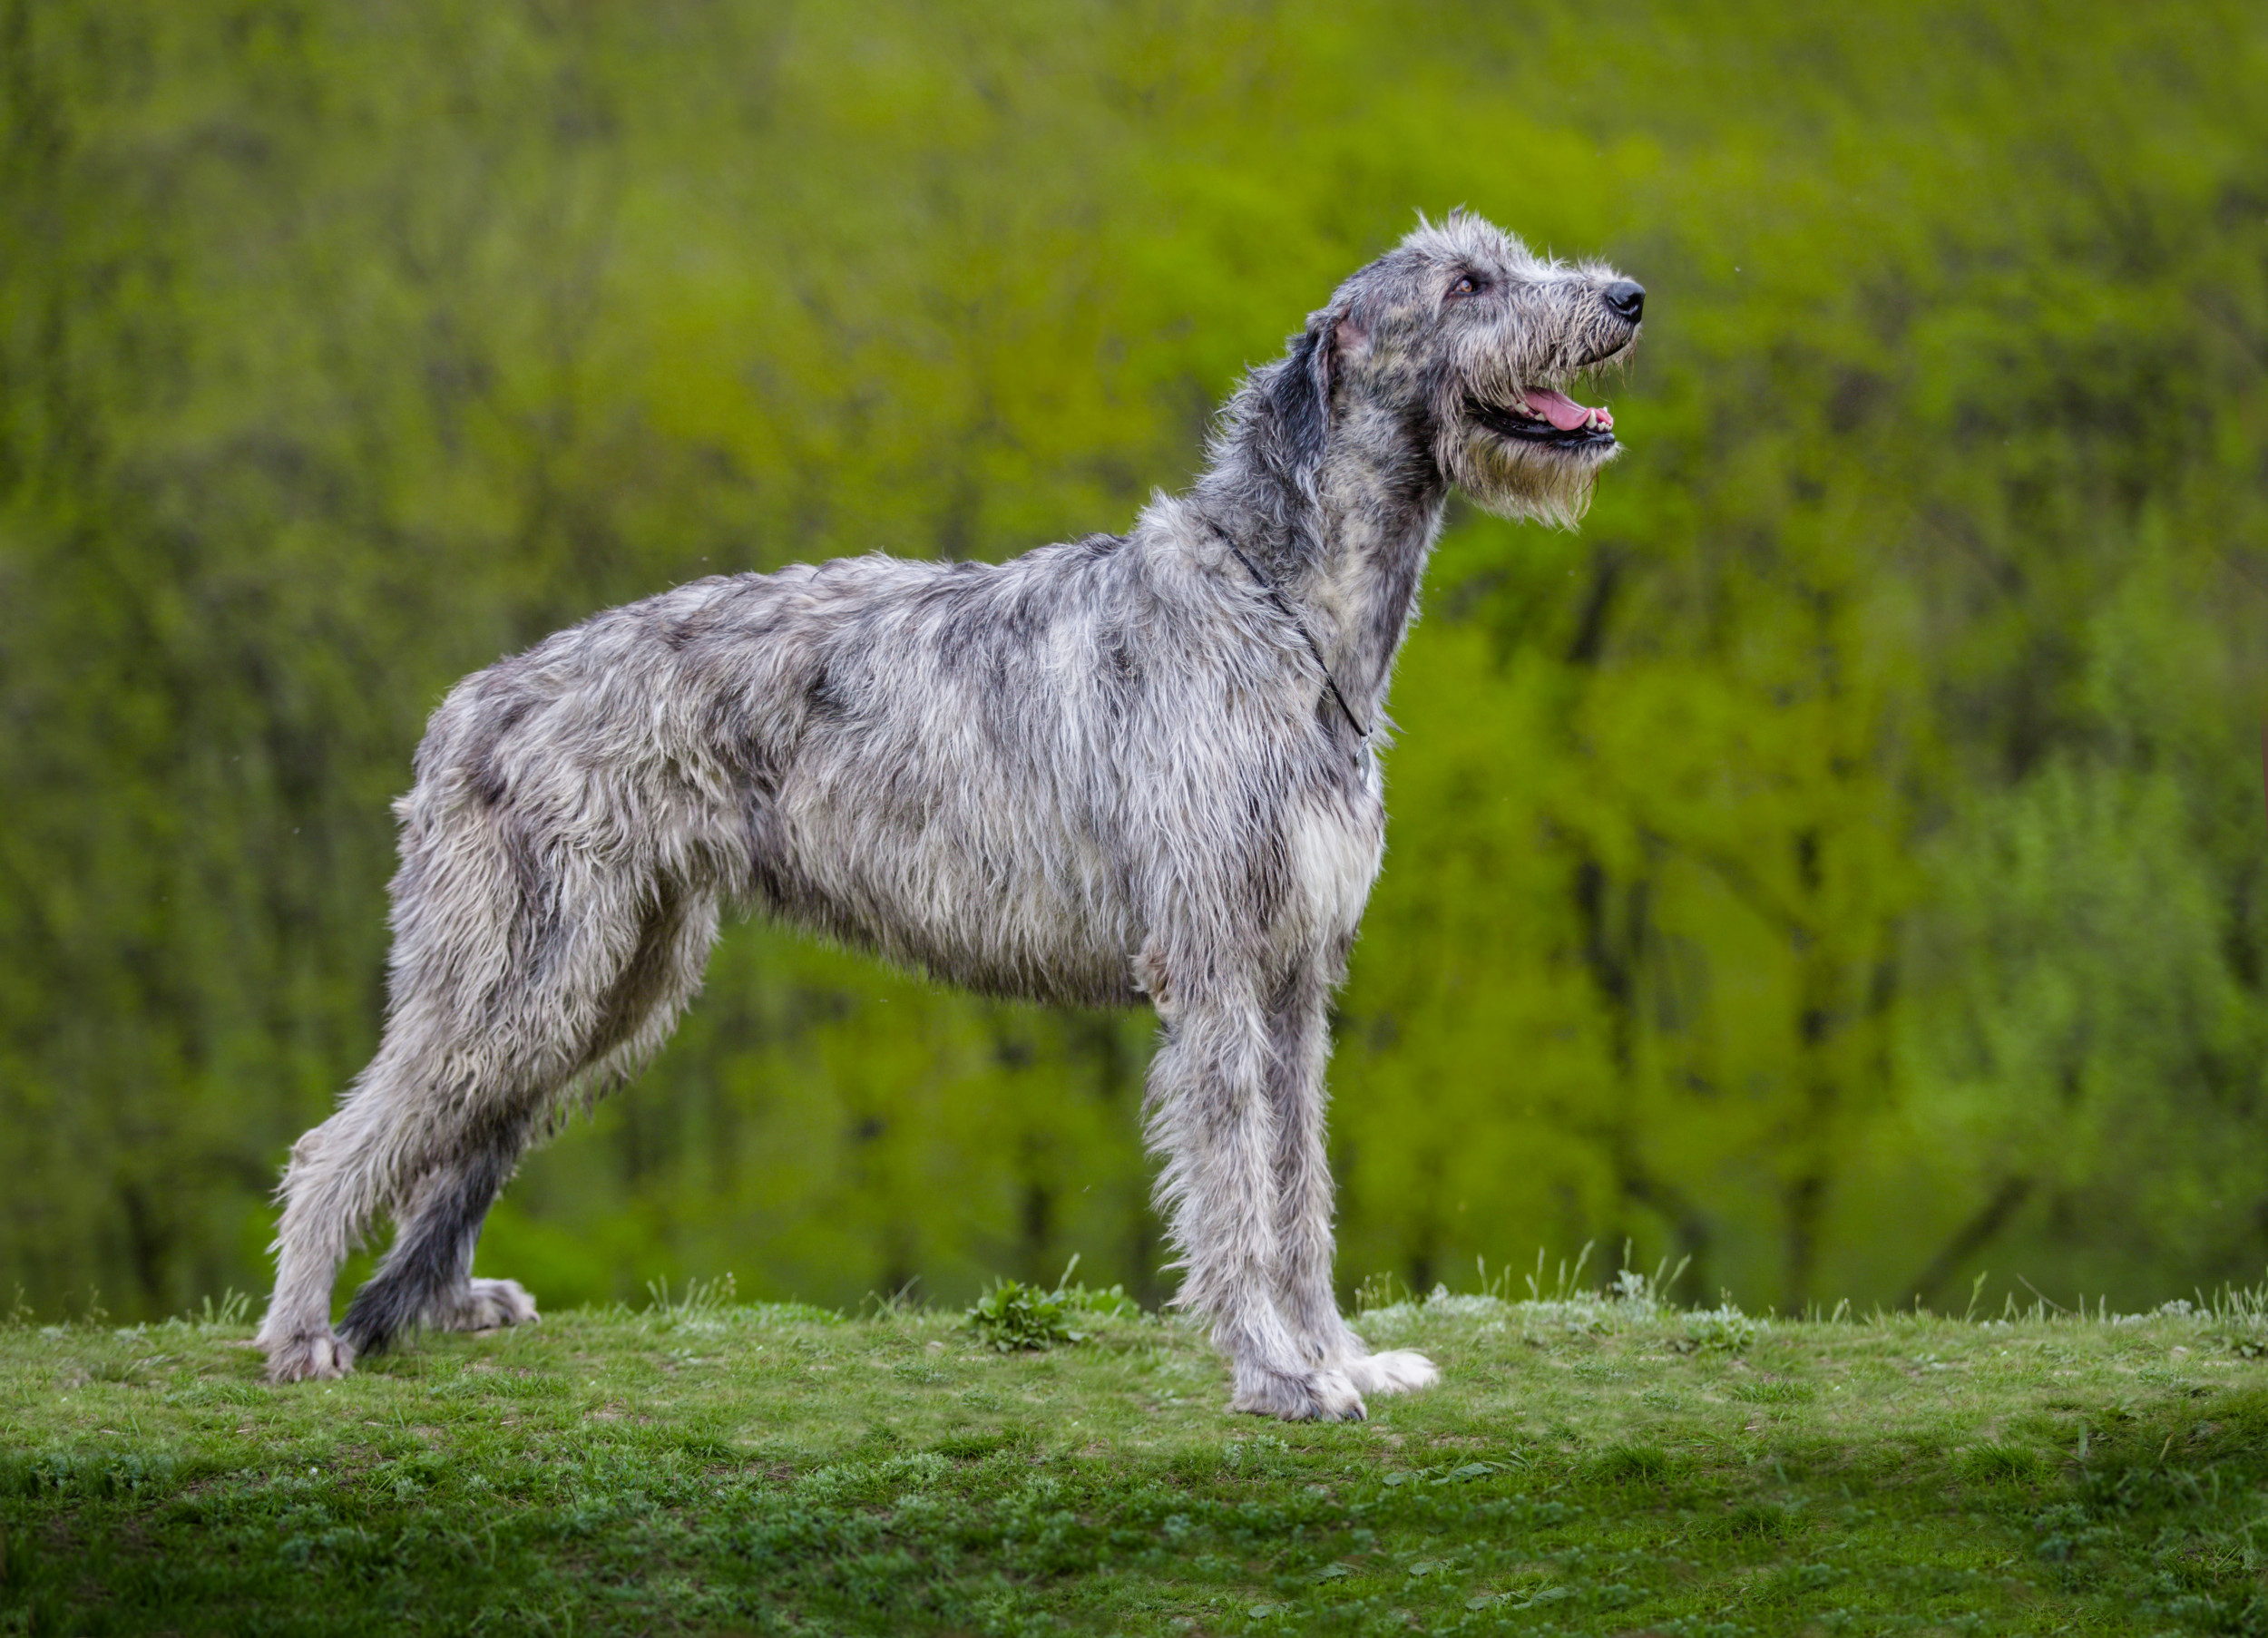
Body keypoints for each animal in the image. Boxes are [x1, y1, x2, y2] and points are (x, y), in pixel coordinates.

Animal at [260, 213, 1651, 1415]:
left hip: (615, 981)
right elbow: (1234, 1188)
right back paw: (300, 1335)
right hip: (526, 965)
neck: (1280, 610)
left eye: (1509, 255)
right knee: (342, 1139)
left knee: (461, 1135)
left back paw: (433, 1307)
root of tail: (463, 706)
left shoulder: (1298, 970)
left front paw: (1340, 1355)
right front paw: (1276, 1372)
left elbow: (1299, 1182)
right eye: (1466, 283)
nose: (1628, 296)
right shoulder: (1210, 961)